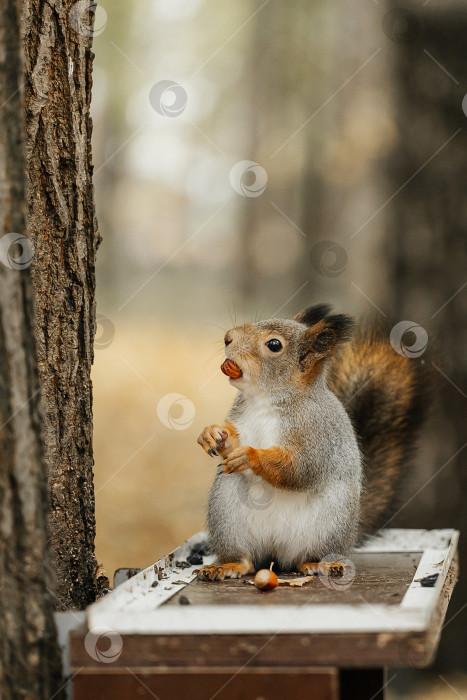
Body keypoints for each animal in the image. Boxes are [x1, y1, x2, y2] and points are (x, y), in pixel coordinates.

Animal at [196, 304, 430, 584]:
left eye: (274, 345)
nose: (228, 337)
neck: (266, 399)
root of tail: (276, 552)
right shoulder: (241, 417)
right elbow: (231, 439)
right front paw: (210, 434)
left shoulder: (317, 434)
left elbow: (300, 469)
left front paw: (249, 456)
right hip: (228, 515)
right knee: (246, 559)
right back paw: (227, 565)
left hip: (330, 522)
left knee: (309, 555)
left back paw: (320, 564)